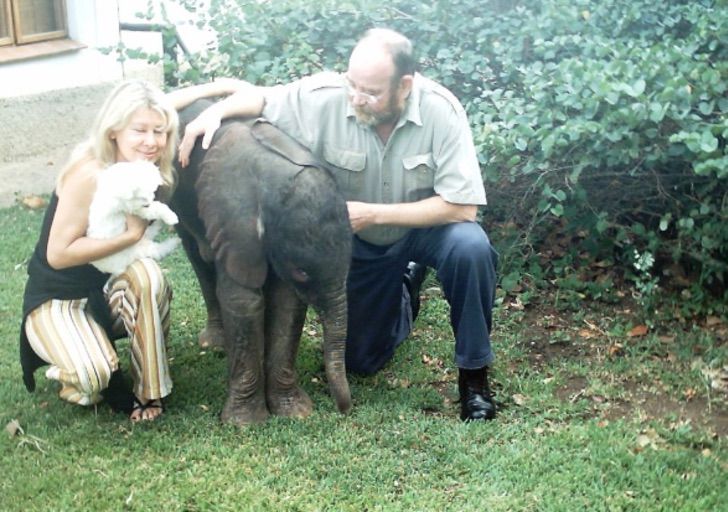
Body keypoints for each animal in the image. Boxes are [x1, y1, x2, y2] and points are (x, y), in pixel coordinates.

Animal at [171, 100, 352, 424]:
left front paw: (295, 413)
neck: (273, 179)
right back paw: (215, 344)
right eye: (302, 272)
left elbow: (286, 303)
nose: (345, 410)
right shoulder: (232, 221)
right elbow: (243, 300)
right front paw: (245, 423)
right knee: (197, 255)